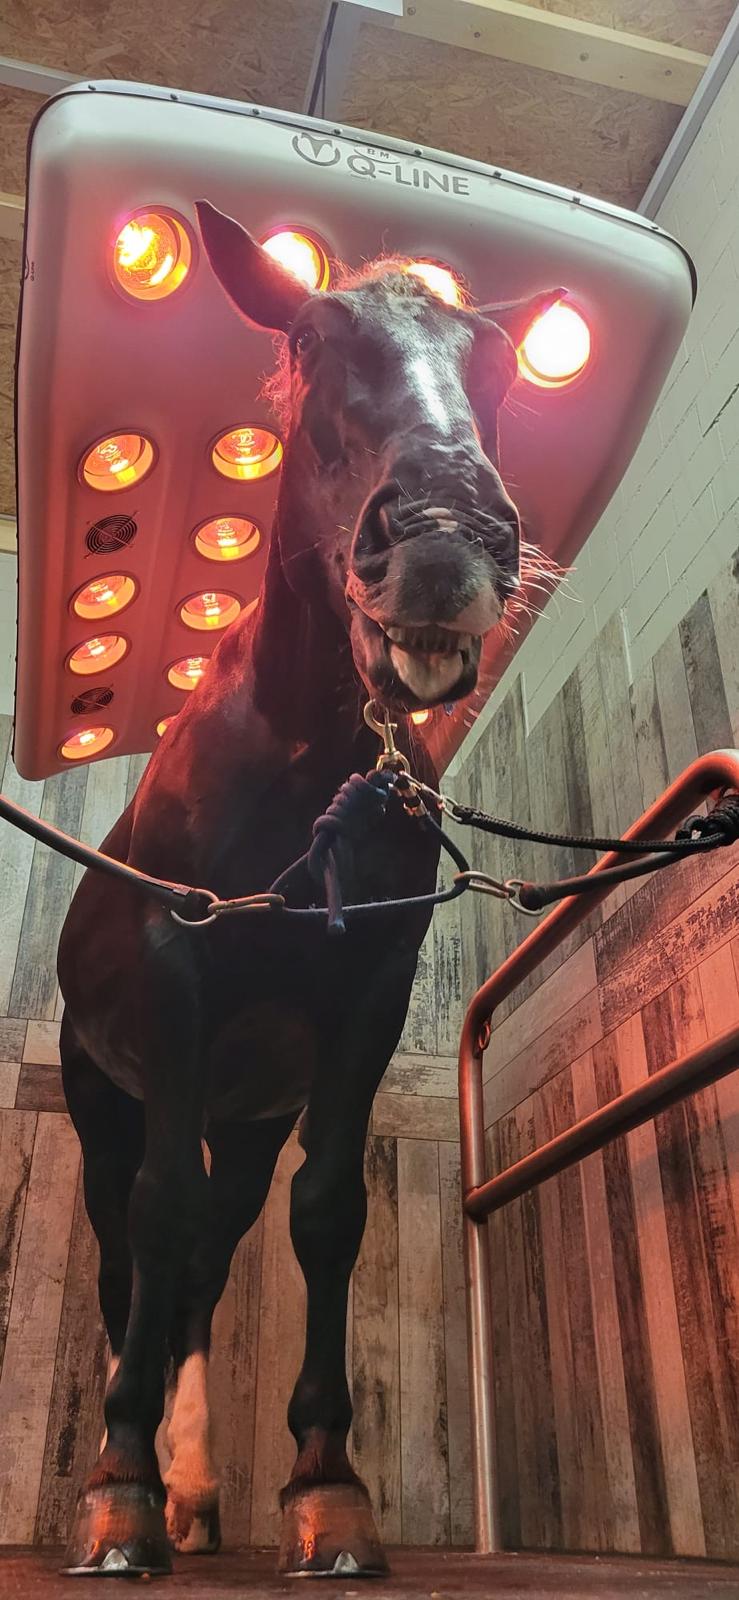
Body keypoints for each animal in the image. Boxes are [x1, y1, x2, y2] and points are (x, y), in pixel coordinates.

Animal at [56, 198, 554, 1577]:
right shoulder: (176, 977)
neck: (300, 758)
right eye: (314, 340)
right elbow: (159, 1222)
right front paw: (116, 1490)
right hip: (104, 1099)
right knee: (132, 1255)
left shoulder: (365, 996)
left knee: (205, 1267)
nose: (445, 545)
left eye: (498, 361)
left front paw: (325, 1492)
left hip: (246, 1112)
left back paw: (194, 1488)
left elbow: (325, 1214)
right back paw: (134, 1473)